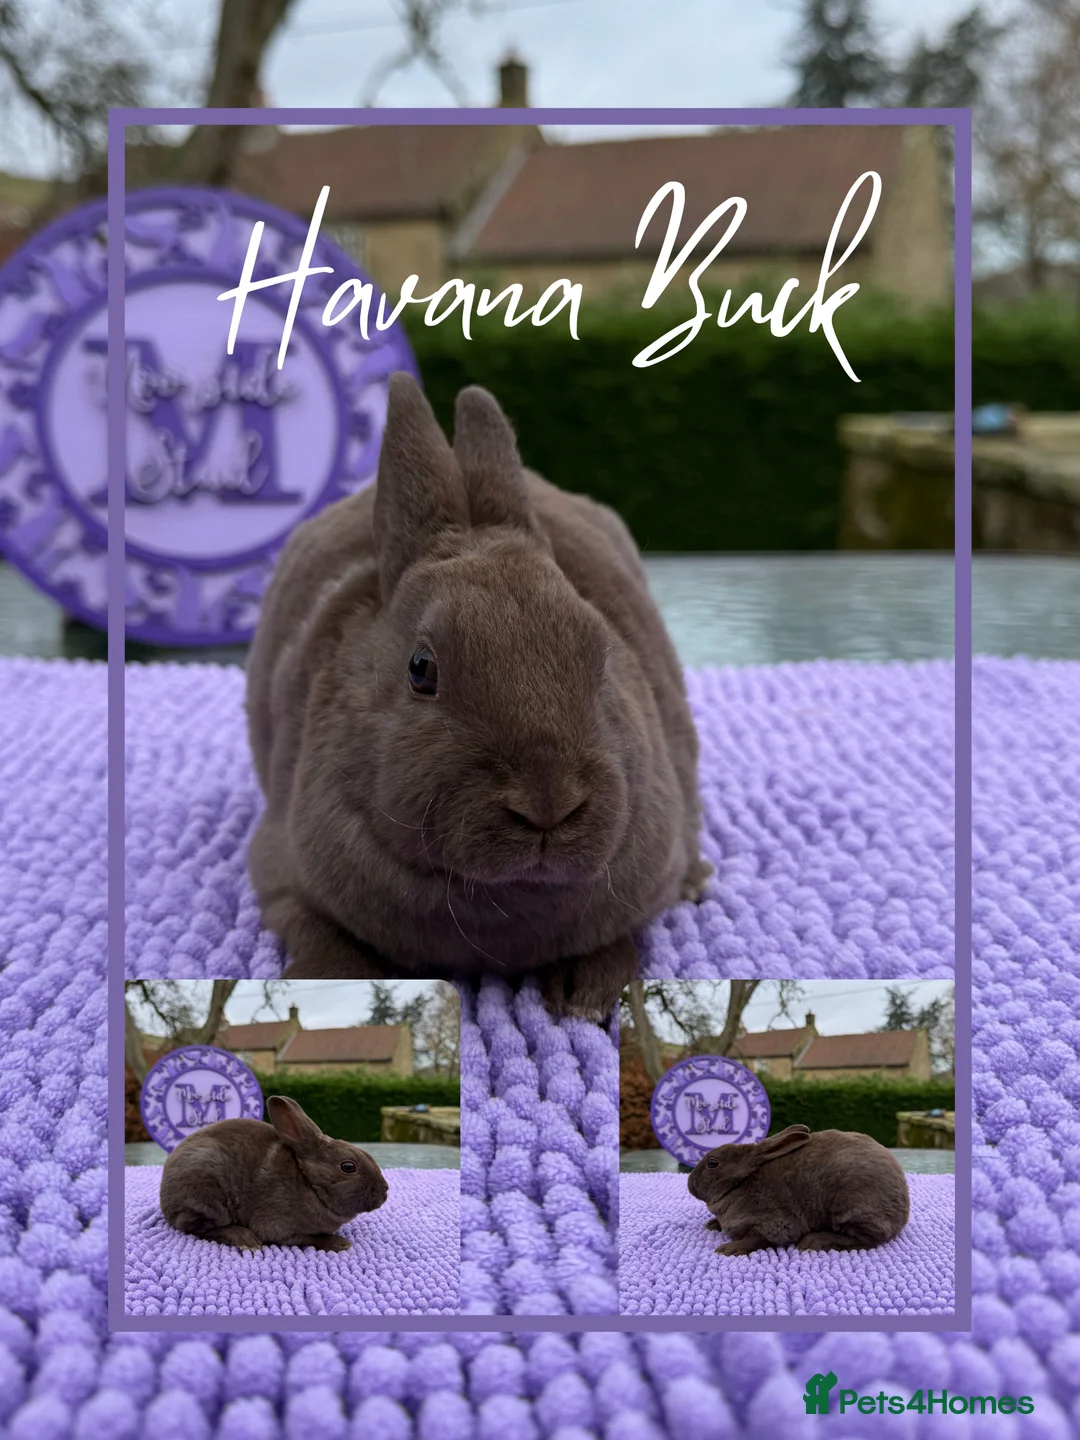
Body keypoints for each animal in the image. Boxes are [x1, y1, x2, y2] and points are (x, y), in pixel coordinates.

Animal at [159, 1094, 388, 1252]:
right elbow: (309, 1238)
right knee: (195, 1226)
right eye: (348, 1167)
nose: (384, 1192)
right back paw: (246, 1239)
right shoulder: (280, 1228)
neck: (309, 1182)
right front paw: (340, 1243)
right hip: (207, 1196)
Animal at [245, 371, 711, 1020]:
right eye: (421, 670)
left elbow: (622, 938)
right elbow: (319, 934)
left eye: (601, 653)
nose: (547, 803)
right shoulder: (281, 873)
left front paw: (581, 995)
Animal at [686, 1124, 910, 1255]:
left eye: (712, 1163)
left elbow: (754, 1240)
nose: (689, 1183)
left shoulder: (771, 1224)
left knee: (868, 1238)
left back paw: (812, 1241)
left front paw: (726, 1249)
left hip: (852, 1208)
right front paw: (712, 1224)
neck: (739, 1184)